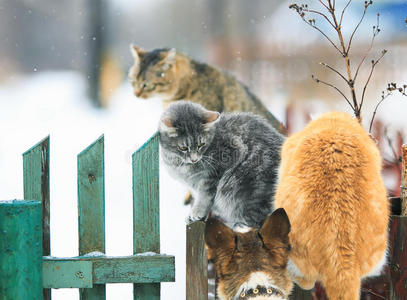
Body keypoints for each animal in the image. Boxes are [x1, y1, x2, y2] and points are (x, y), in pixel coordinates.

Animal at [158, 101, 286, 227]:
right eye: (183, 148)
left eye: (201, 145)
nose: (194, 159)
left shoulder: (214, 172)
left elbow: (204, 196)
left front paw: (198, 212)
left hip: (245, 190)